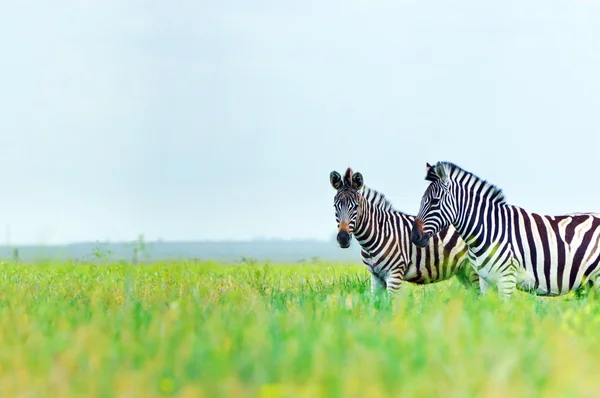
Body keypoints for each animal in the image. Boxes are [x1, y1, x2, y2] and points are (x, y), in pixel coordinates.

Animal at [330, 166, 480, 294]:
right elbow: (376, 305)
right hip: (463, 271)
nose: (343, 238)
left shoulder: (394, 275)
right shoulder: (376, 277)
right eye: (335, 206)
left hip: (473, 270)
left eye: (356, 206)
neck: (379, 233)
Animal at [412, 162, 600, 298]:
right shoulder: (485, 280)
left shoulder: (506, 279)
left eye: (435, 201)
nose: (415, 236)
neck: (488, 230)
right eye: (421, 200)